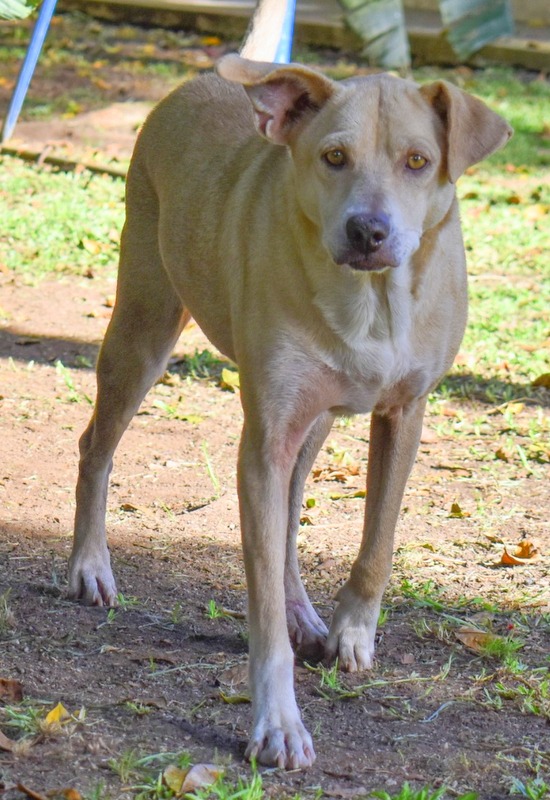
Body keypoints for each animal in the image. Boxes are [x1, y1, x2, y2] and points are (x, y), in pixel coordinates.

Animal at [68, 3, 512, 772]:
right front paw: (276, 720)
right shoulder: (265, 437)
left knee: (292, 514)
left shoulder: (405, 411)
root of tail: (204, 80)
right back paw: (90, 566)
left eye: (418, 161)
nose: (368, 230)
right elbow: (262, 600)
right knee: (98, 442)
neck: (372, 306)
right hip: (145, 326)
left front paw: (352, 633)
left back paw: (307, 611)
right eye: (333, 157)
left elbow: (376, 542)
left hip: (316, 414)